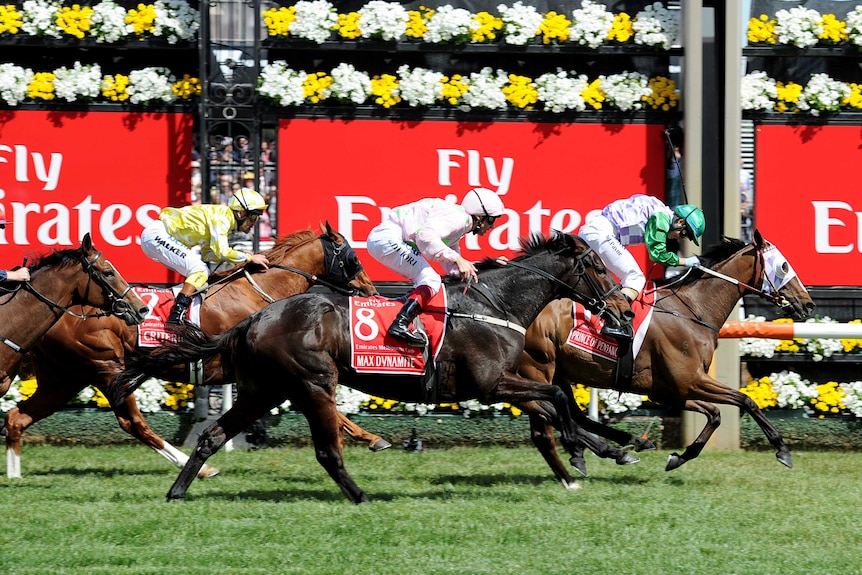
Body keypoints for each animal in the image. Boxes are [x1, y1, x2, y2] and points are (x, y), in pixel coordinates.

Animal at [115, 232, 636, 502]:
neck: (496, 304)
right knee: (327, 450)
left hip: (265, 389)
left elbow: (554, 403)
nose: (625, 308)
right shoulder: (491, 384)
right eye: (599, 268)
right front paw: (589, 449)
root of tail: (253, 320)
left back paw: (178, 490)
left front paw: (607, 449)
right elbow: (557, 398)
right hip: (312, 383)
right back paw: (361, 495)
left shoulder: (502, 384)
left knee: (211, 436)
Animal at [516, 230, 820, 482]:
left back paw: (620, 446)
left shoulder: (670, 391)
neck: (692, 311)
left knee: (572, 415)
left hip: (557, 372)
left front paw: (678, 457)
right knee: (547, 423)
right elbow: (747, 401)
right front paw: (782, 450)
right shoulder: (690, 381)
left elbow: (715, 415)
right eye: (784, 266)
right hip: (538, 367)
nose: (808, 304)